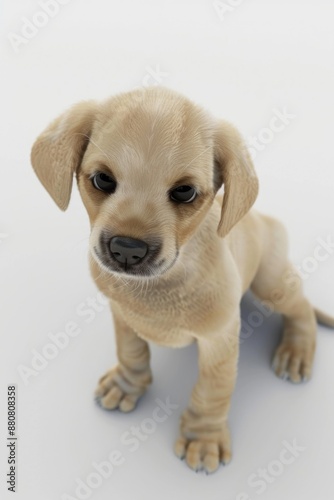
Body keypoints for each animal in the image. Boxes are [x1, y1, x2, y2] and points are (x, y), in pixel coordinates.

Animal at [30, 86, 332, 472]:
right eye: (102, 179)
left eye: (185, 192)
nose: (127, 249)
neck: (161, 285)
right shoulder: (121, 314)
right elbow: (131, 352)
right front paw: (127, 385)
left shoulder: (220, 340)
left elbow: (212, 390)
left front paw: (203, 437)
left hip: (271, 282)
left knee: (302, 308)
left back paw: (296, 350)